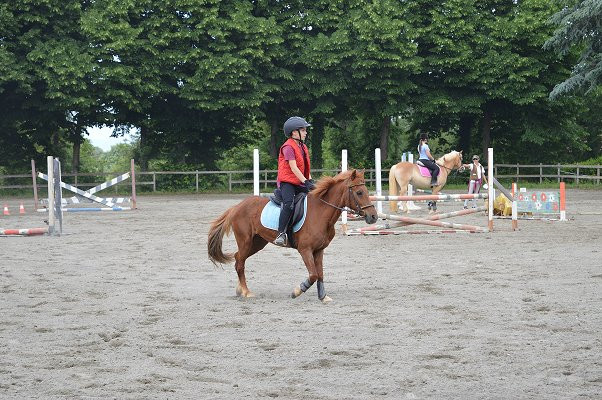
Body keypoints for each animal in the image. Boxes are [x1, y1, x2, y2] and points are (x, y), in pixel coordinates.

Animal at [207, 169, 376, 304]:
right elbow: (313, 275)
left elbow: (320, 274)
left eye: (367, 191)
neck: (321, 212)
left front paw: (323, 296)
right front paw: (297, 291)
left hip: (257, 243)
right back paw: (246, 292)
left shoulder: (319, 250)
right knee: (240, 263)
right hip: (246, 241)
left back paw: (239, 290)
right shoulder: (305, 250)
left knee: (237, 259)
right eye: (359, 192)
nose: (373, 217)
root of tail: (237, 206)